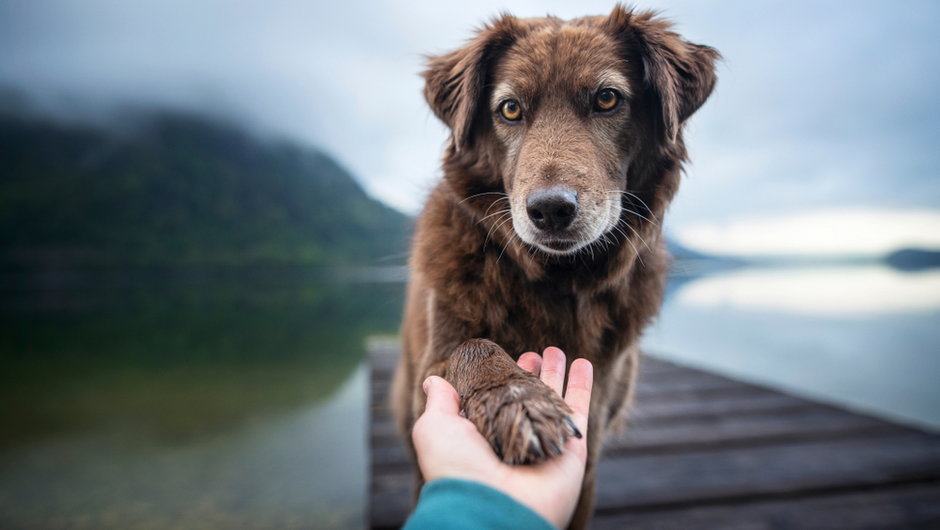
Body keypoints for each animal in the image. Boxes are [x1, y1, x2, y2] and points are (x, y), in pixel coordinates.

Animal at [392, 5, 716, 528]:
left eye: (607, 98)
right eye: (509, 109)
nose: (549, 210)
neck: (558, 280)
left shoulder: (594, 440)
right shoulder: (434, 367)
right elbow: (473, 348)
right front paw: (517, 400)